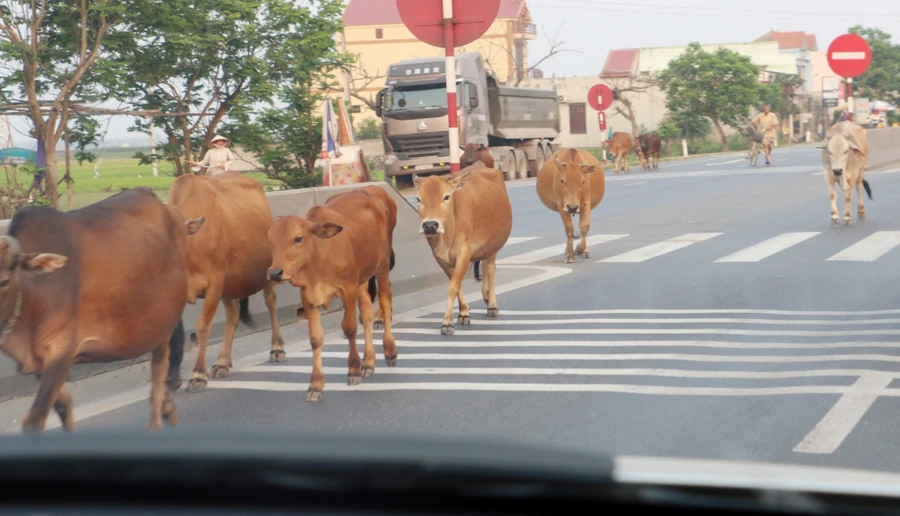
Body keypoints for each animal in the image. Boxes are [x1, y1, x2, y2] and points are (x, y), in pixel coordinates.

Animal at [0, 187, 202, 434]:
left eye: (4, 282)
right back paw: (168, 407)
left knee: (158, 370)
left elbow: (34, 419)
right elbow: (64, 406)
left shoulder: (62, 350)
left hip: (163, 324)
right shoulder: (39, 363)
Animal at [166, 171, 284, 394]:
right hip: (230, 285)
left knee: (271, 304)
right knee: (233, 314)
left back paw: (277, 348)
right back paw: (222, 362)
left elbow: (202, 326)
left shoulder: (215, 282)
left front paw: (198, 374)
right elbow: (172, 335)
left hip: (267, 274)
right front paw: (171, 378)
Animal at [264, 183, 398, 402]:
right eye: (270, 241)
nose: (275, 273)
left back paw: (390, 352)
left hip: (382, 264)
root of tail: (375, 189)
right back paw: (368, 363)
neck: (319, 256)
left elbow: (350, 328)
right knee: (367, 312)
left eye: (298, 238)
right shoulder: (308, 297)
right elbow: (316, 338)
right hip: (363, 278)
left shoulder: (348, 289)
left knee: (385, 302)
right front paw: (315, 384)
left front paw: (353, 370)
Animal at [412, 163, 510, 336]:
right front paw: (463, 312)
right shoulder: (440, 258)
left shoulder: (464, 253)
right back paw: (485, 295)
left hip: (493, 246)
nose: (430, 225)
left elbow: (452, 286)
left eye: (446, 197)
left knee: (490, 269)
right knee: (484, 266)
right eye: (418, 199)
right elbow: (456, 284)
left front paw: (447, 322)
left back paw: (492, 303)